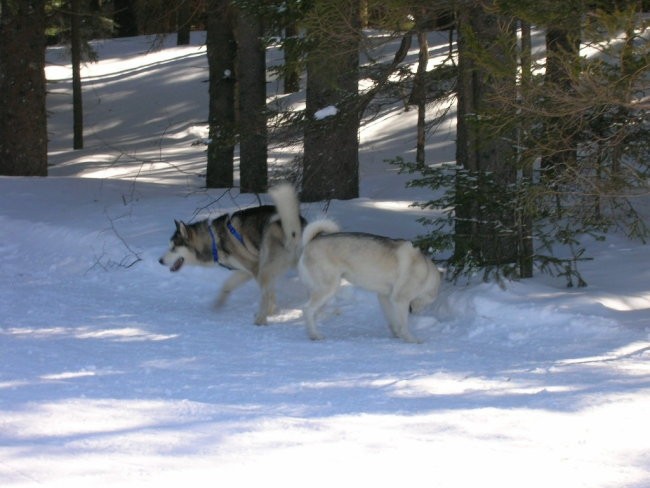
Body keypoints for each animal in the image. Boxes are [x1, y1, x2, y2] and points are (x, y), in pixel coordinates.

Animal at [161, 183, 306, 324]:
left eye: (173, 248)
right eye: (170, 247)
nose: (160, 260)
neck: (214, 241)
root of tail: (295, 230)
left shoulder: (255, 268)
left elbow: (269, 295)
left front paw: (269, 313)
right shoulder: (245, 271)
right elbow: (227, 286)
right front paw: (217, 304)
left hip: (266, 269)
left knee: (266, 295)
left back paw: (260, 319)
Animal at [298, 219, 440, 342]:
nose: (412, 311)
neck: (427, 272)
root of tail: (311, 241)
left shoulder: (385, 298)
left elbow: (393, 321)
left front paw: (397, 334)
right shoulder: (400, 300)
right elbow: (403, 325)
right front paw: (411, 339)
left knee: (312, 312)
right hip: (328, 289)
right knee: (307, 309)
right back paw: (315, 335)